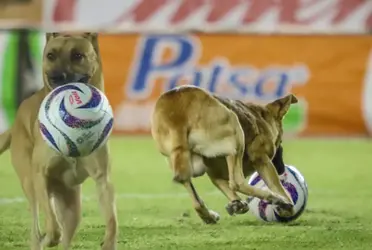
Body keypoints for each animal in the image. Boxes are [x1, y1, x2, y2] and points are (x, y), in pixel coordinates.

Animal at [0, 33, 117, 250]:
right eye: (50, 55)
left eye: (77, 55)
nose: (55, 77)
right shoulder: (40, 175)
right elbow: (53, 227)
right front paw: (48, 237)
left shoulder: (102, 179)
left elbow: (112, 220)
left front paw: (109, 241)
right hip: (30, 185)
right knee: (37, 227)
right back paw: (41, 238)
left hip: (72, 207)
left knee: (65, 234)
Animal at [150, 85, 298, 224]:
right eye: (280, 141)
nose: (282, 168)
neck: (260, 117)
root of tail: (177, 115)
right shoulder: (261, 159)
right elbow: (276, 185)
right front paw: (286, 204)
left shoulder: (214, 173)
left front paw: (236, 204)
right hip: (235, 129)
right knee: (237, 183)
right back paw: (277, 199)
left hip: (180, 159)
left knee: (194, 197)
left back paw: (209, 216)